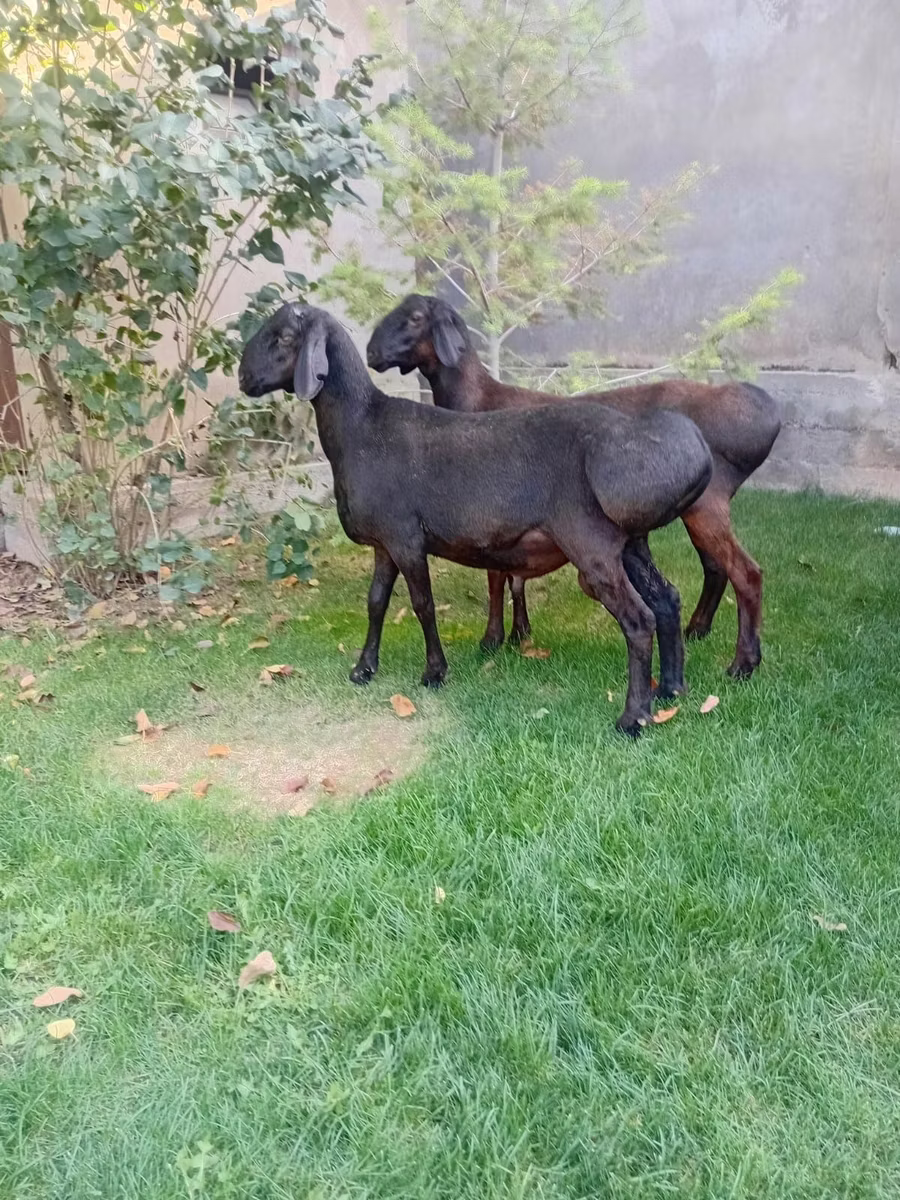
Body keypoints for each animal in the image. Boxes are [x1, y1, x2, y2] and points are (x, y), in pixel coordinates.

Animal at [239, 303, 713, 735]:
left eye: (284, 337)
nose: (243, 378)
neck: (362, 429)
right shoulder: (384, 542)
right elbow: (375, 604)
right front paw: (363, 669)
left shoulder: (406, 538)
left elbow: (422, 605)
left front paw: (434, 672)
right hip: (630, 543)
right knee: (667, 599)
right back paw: (671, 690)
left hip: (591, 545)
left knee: (638, 620)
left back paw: (633, 718)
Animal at [366, 294, 782, 679]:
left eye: (415, 317)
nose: (371, 352)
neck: (477, 400)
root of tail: (766, 415)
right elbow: (514, 578)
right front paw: (519, 632)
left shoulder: (487, 514)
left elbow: (496, 577)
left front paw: (492, 639)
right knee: (716, 567)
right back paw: (698, 631)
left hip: (706, 505)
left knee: (747, 573)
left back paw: (743, 663)